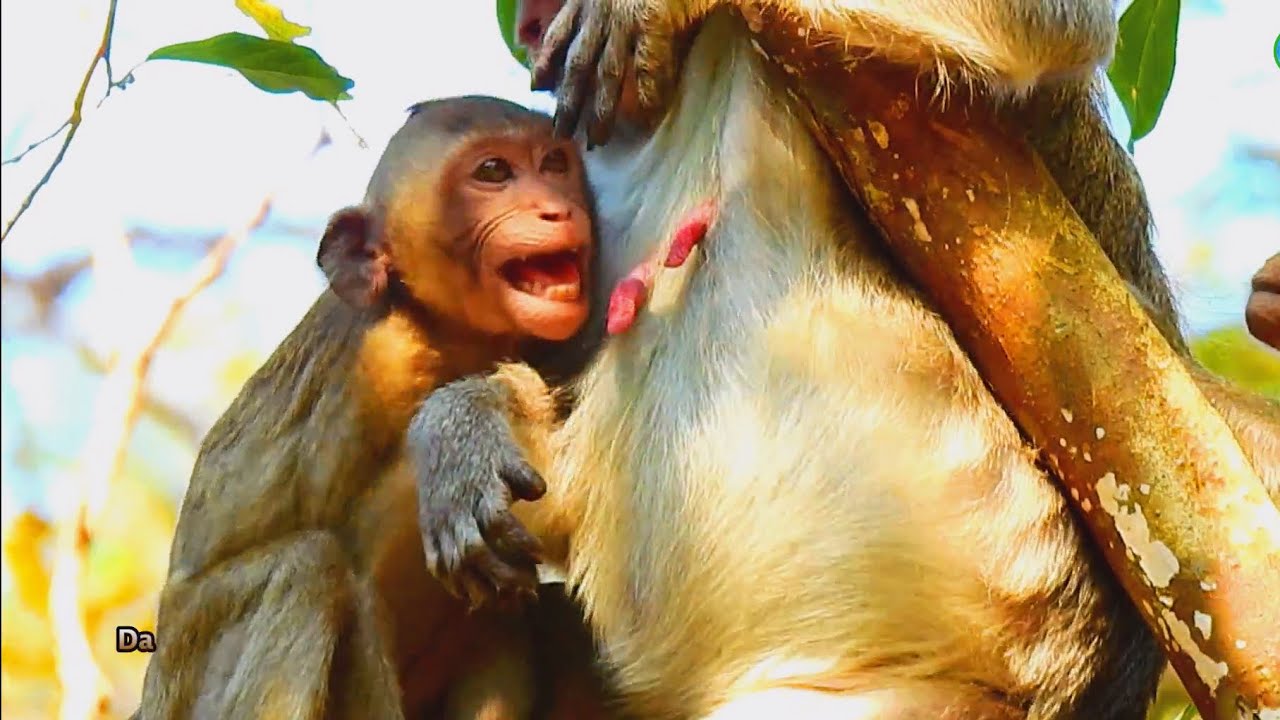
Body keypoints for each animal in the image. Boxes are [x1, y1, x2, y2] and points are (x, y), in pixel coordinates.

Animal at [132, 95, 623, 720]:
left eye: (555, 164)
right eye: (494, 172)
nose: (555, 210)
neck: (437, 329)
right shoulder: (384, 367)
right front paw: (456, 441)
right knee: (308, 569)